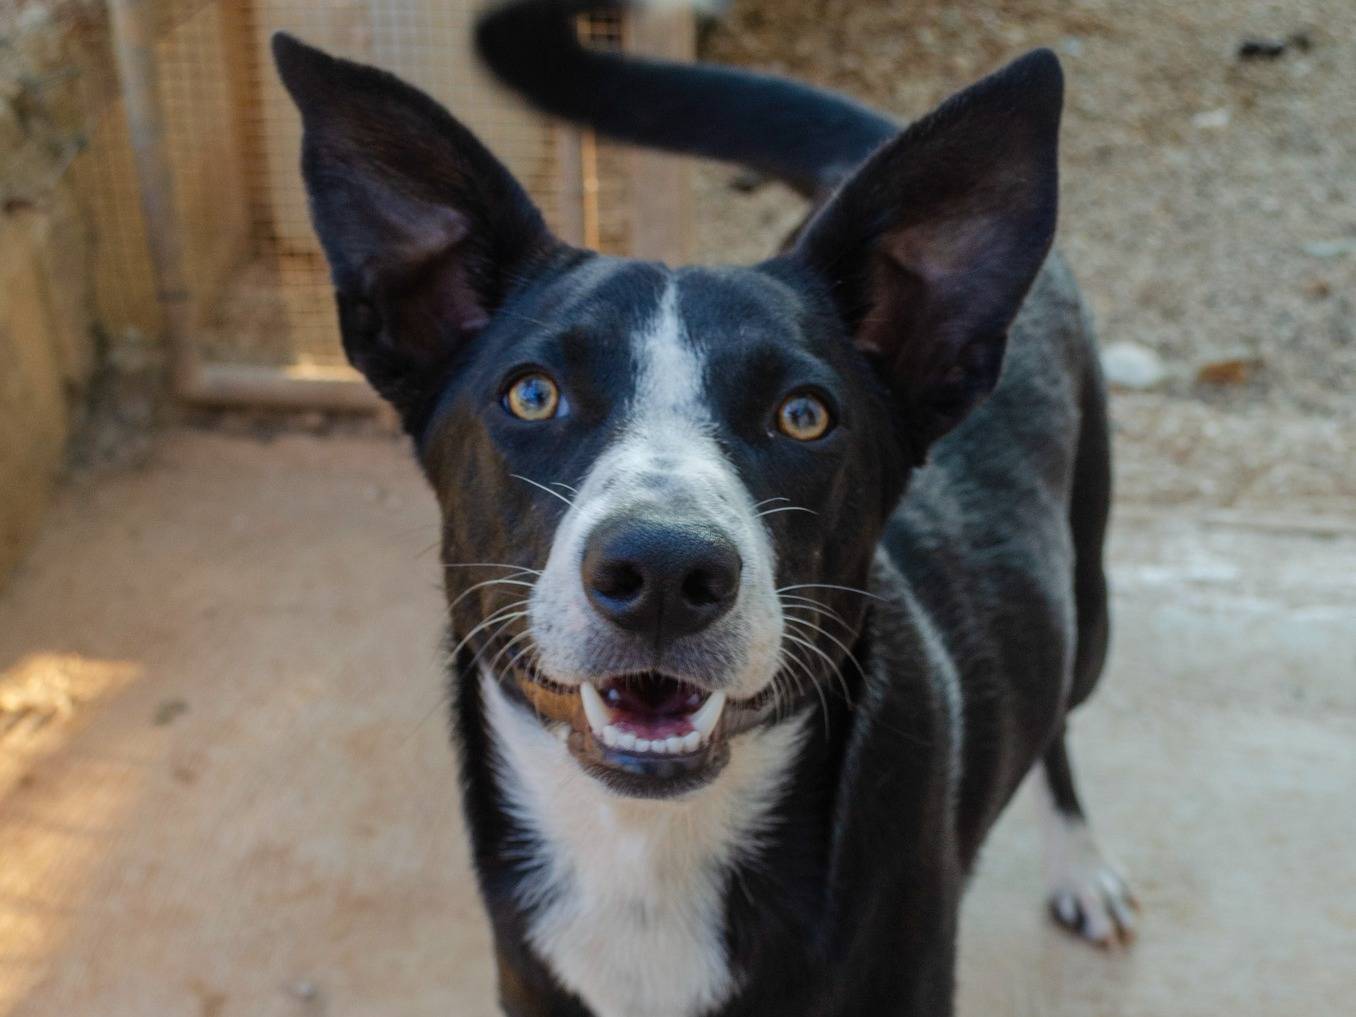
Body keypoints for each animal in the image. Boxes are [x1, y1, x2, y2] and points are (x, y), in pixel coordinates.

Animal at [274, 1, 1136, 1013]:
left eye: (803, 414)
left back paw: (1080, 864)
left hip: (1089, 605)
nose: (661, 569)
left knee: (1060, 716)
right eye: (532, 394)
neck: (647, 848)